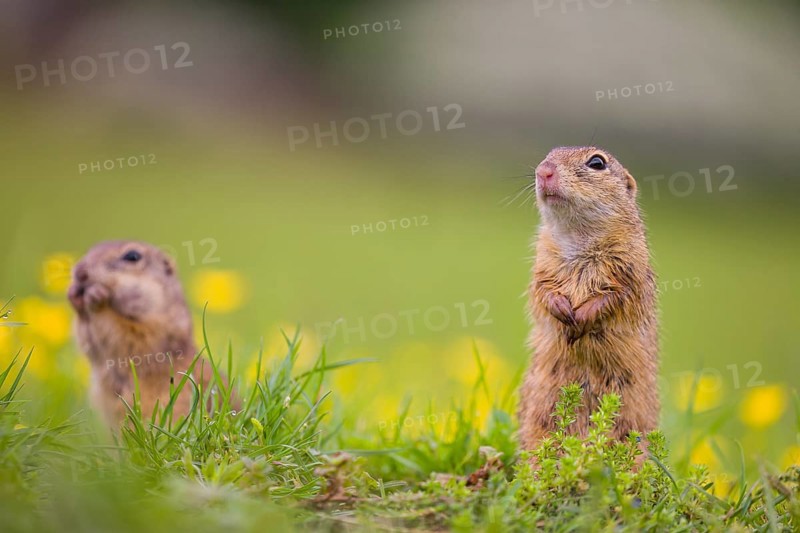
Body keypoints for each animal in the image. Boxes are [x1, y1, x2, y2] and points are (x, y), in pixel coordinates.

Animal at [67, 240, 227, 426]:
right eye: (91, 249)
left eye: (132, 256)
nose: (80, 272)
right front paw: (74, 295)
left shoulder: (153, 327)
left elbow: (126, 332)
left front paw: (96, 297)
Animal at [517, 146, 659, 450]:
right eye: (550, 153)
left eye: (597, 163)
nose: (543, 171)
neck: (579, 235)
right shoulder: (542, 263)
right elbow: (541, 290)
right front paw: (562, 309)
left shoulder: (629, 270)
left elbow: (615, 296)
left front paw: (581, 317)